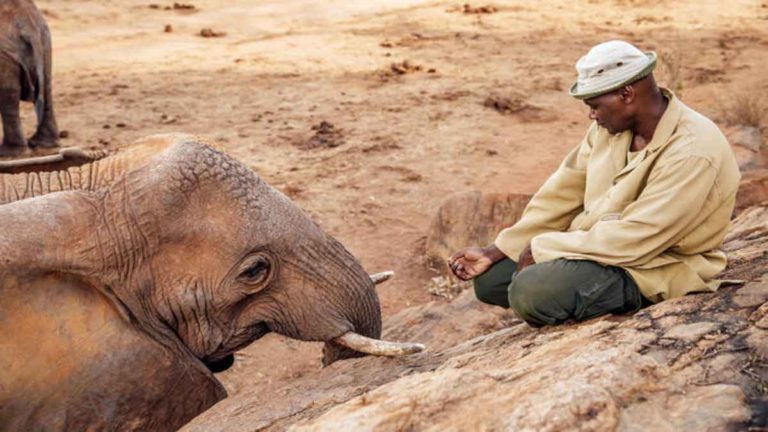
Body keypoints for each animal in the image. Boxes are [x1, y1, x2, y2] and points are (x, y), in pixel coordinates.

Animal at [0, 0, 58, 155]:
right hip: (45, 39)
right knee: (47, 85)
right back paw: (42, 143)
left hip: (5, 52)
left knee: (8, 93)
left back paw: (10, 152)